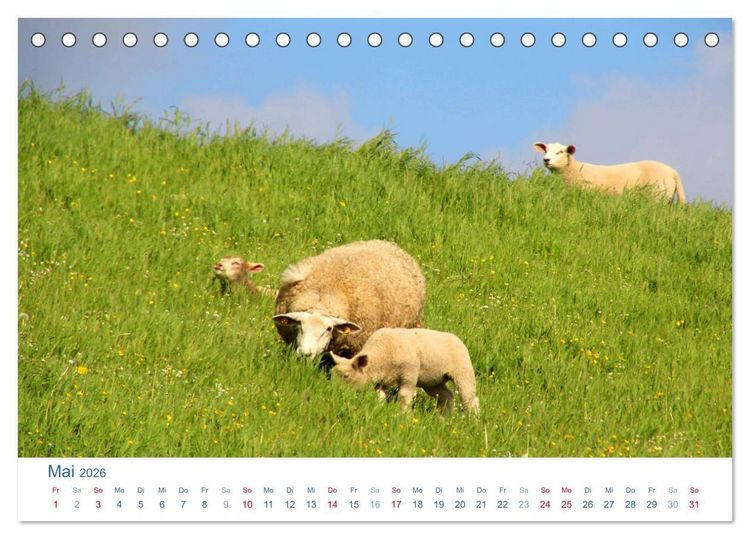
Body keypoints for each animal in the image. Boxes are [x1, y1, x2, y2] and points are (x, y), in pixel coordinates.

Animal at [330, 328, 479, 415]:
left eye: (346, 376)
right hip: (432, 381)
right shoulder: (381, 382)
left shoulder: (409, 374)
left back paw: (473, 420)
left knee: (469, 398)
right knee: (446, 396)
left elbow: (404, 396)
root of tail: (456, 338)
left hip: (463, 371)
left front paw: (403, 416)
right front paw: (378, 410)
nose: (336, 395)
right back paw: (443, 419)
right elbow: (380, 396)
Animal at [533, 142, 686, 203]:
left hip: (657, 196)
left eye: (560, 152)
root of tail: (673, 171)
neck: (573, 169)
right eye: (546, 150)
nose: (546, 160)